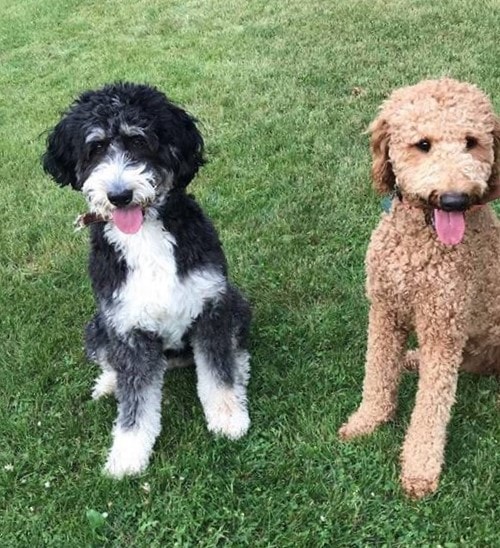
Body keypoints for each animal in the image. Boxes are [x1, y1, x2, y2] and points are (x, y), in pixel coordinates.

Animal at [44, 82, 250, 480]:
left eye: (139, 141)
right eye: (95, 148)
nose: (119, 195)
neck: (145, 237)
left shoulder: (211, 307)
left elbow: (218, 373)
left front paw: (229, 417)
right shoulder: (127, 329)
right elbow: (135, 404)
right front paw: (127, 455)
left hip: (236, 302)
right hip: (97, 327)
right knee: (114, 366)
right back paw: (109, 384)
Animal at [340, 79, 500, 498]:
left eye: (471, 141)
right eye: (423, 143)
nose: (454, 199)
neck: (421, 244)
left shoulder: (443, 329)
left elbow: (431, 406)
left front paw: (420, 469)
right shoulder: (385, 310)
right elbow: (378, 373)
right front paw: (368, 420)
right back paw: (411, 359)